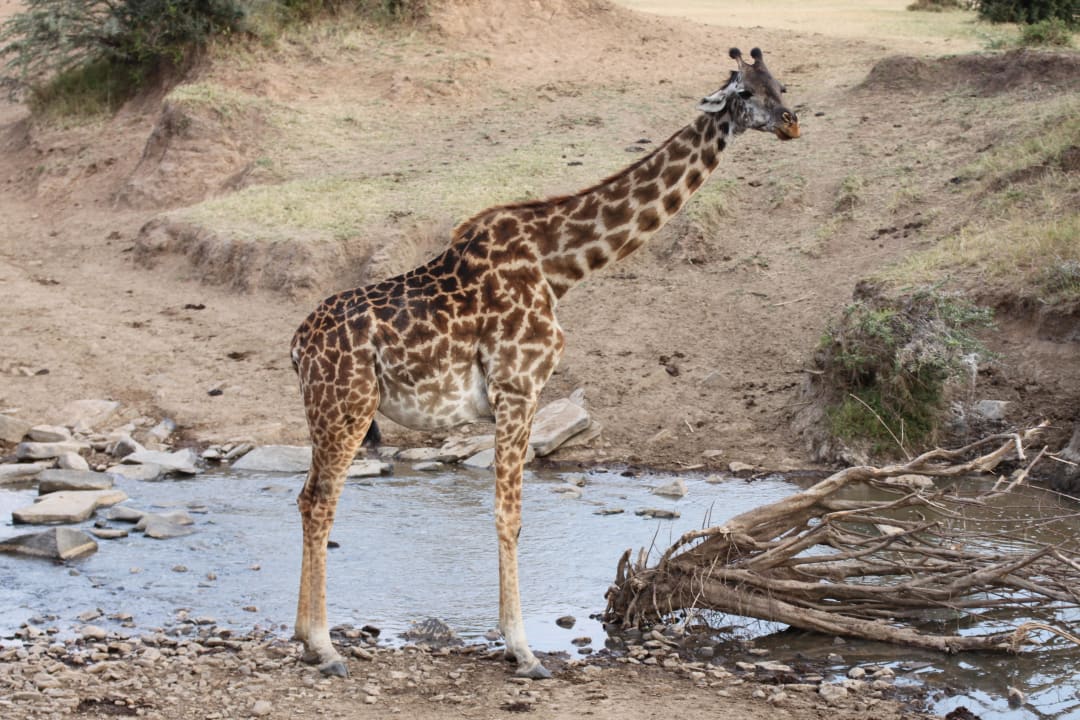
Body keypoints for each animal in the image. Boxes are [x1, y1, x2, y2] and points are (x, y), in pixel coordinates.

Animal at [290, 47, 799, 679]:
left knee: (306, 497)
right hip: (347, 405)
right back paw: (325, 646)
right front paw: (524, 651)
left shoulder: (518, 393)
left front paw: (518, 644)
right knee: (322, 502)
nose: (792, 123)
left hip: (327, 412)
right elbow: (509, 516)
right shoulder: (518, 387)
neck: (560, 265)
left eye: (780, 84)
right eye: (745, 93)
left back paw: (305, 638)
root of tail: (297, 345)